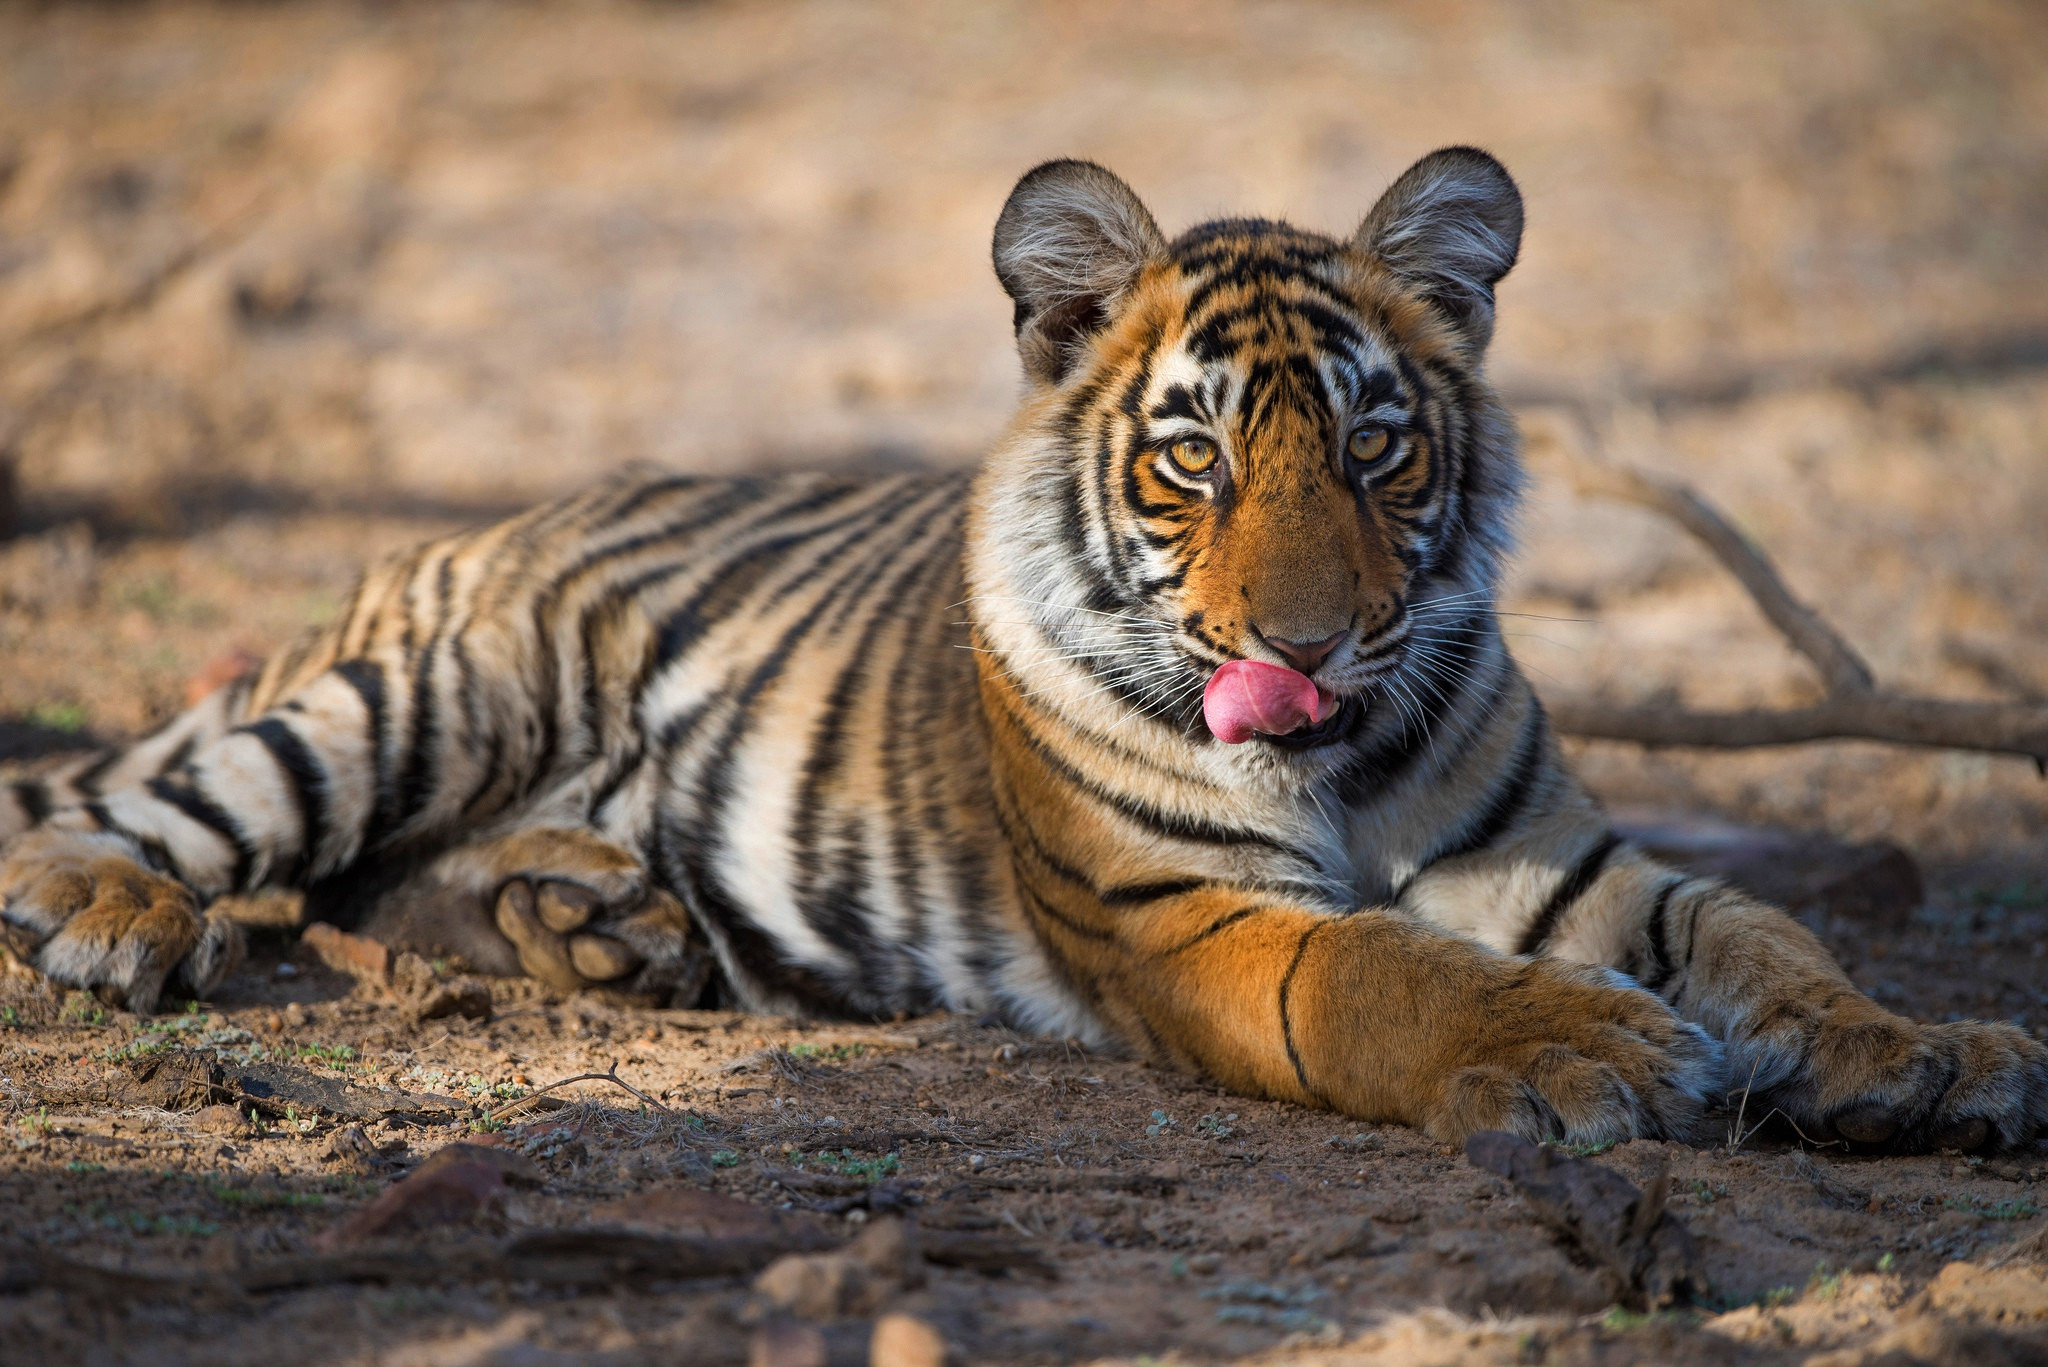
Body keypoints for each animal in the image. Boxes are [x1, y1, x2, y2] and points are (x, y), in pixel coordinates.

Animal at [4, 149, 2048, 1155]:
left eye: (1375, 445)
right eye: (1193, 456)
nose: (1308, 639)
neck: (1343, 760)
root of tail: (472, 521)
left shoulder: (1564, 857)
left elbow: (1766, 933)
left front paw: (1926, 1051)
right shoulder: (1187, 911)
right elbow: (1390, 977)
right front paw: (1579, 1053)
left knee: (403, 876)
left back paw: (604, 923)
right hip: (432, 689)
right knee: (192, 807)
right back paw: (110, 918)